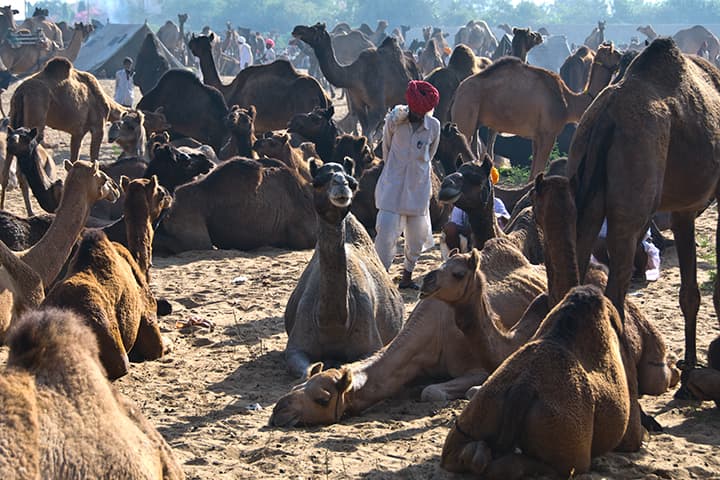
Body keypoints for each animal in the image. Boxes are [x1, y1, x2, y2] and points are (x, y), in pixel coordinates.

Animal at [269, 238, 547, 427]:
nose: (279, 409)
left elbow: (432, 391)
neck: (433, 334)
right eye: (297, 386)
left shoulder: (475, 367)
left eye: (323, 399)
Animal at [281, 161, 403, 378]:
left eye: (353, 183)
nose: (341, 184)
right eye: (317, 182)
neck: (334, 324)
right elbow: (304, 368)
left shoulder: (370, 346)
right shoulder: (296, 348)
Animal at [452, 42, 621, 178]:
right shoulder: (549, 134)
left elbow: (533, 173)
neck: (569, 103)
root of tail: (459, 91)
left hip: (475, 123)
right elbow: (539, 171)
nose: (623, 56)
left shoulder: (537, 136)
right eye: (613, 52)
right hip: (465, 116)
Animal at [567, 38, 720, 398]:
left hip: (585, 178)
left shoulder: (682, 208)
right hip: (634, 179)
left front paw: (688, 373)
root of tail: (607, 116)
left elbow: (689, 293)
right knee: (617, 281)